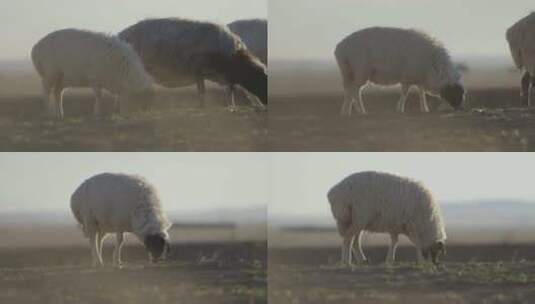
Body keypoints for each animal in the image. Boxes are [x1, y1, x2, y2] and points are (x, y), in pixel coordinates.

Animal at [118, 17, 266, 110]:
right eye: (262, 79)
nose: (265, 104)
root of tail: (121, 34)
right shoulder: (198, 70)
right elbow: (202, 91)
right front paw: (202, 107)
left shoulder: (223, 77)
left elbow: (230, 93)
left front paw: (232, 107)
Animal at [336, 26, 464, 115]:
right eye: (455, 91)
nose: (460, 109)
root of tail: (340, 48)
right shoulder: (408, 77)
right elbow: (405, 93)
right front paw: (400, 109)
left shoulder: (419, 77)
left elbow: (421, 92)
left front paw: (424, 109)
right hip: (361, 71)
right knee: (355, 91)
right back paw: (361, 111)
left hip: (347, 72)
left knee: (349, 90)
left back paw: (346, 112)